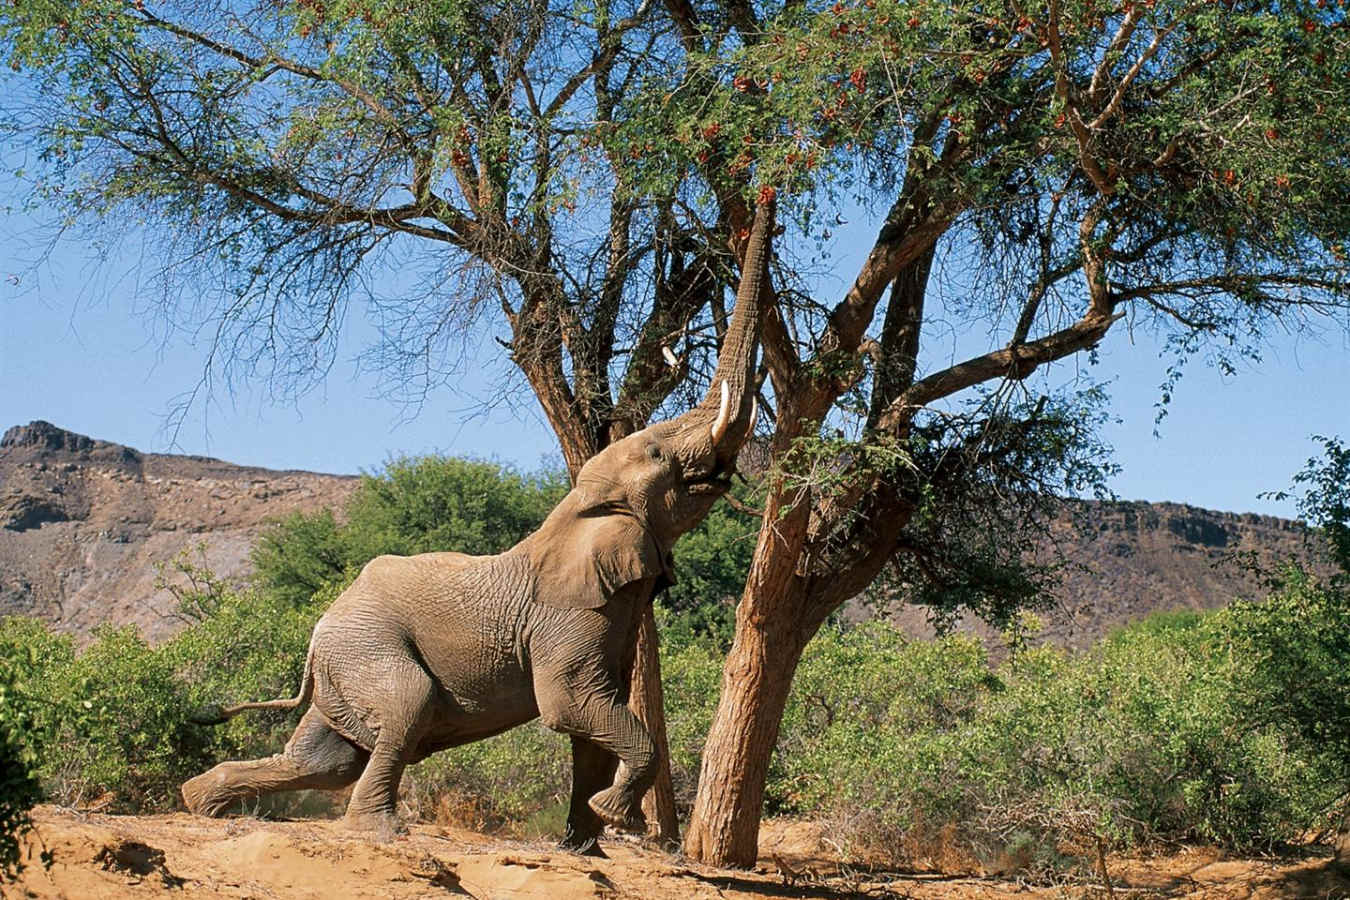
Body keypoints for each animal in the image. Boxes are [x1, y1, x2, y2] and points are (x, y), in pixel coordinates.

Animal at [179, 201, 775, 854]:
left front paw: (585, 845)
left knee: (324, 759)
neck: (578, 509)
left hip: (347, 664)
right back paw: (379, 830)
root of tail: (318, 634)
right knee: (400, 715)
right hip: (371, 649)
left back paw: (200, 803)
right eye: (659, 456)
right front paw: (615, 818)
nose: (764, 198)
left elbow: (592, 725)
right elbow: (573, 706)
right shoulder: (570, 617)